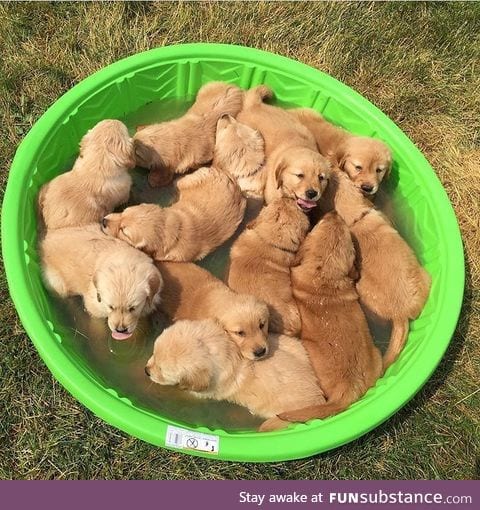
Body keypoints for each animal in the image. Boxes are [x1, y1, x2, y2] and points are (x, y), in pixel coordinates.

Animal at [145, 320, 326, 432]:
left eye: (161, 370)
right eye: (153, 352)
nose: (146, 371)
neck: (230, 351)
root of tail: (317, 399)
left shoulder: (201, 393)